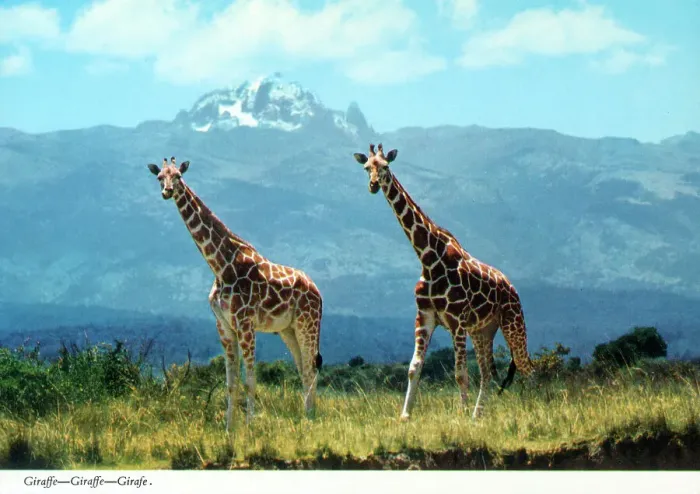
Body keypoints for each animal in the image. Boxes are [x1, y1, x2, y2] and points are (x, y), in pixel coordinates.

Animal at [147, 157, 323, 430]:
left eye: (177, 176)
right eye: (159, 177)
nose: (166, 191)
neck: (221, 266)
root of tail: (318, 291)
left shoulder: (246, 323)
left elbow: (250, 381)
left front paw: (249, 427)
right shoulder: (224, 327)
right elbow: (230, 384)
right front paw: (229, 429)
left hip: (308, 324)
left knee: (311, 369)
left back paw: (310, 420)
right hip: (288, 330)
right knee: (304, 369)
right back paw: (307, 417)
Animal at [352, 144, 534, 420]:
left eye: (384, 166)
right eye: (366, 167)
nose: (373, 185)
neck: (428, 257)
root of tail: (512, 288)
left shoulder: (457, 320)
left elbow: (460, 374)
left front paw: (460, 415)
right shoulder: (425, 316)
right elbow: (414, 368)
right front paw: (405, 416)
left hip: (513, 323)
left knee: (527, 367)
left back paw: (532, 411)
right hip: (483, 331)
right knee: (488, 373)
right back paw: (477, 416)